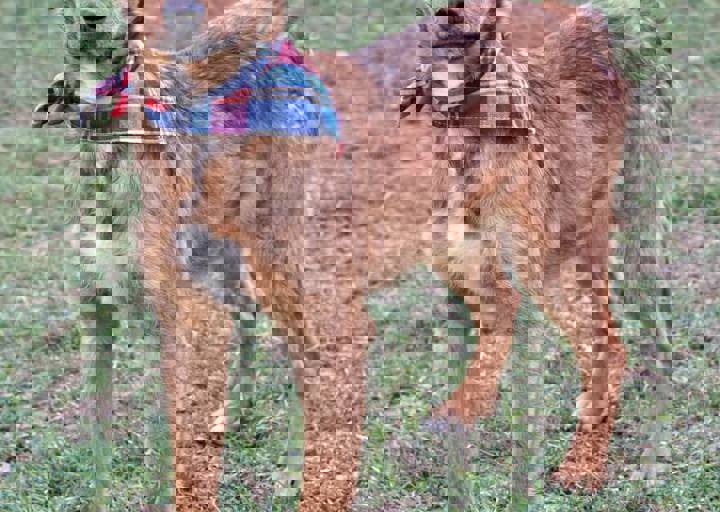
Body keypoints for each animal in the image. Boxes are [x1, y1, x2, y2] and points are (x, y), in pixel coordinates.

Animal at [34, 0, 635, 509]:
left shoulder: (318, 325)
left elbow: (317, 467)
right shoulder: (204, 317)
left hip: (544, 249)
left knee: (606, 345)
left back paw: (583, 468)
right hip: (456, 237)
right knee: (504, 310)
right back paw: (465, 411)